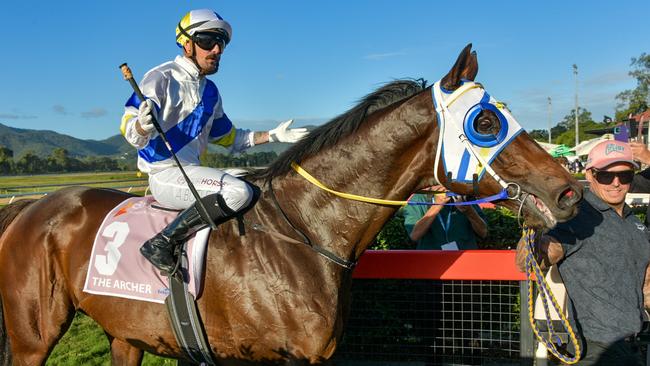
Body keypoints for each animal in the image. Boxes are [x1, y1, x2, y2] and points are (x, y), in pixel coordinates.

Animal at [0, 44, 580, 364]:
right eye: (486, 122)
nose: (569, 191)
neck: (305, 234)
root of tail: (29, 208)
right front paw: (143, 115)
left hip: (126, 334)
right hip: (32, 337)